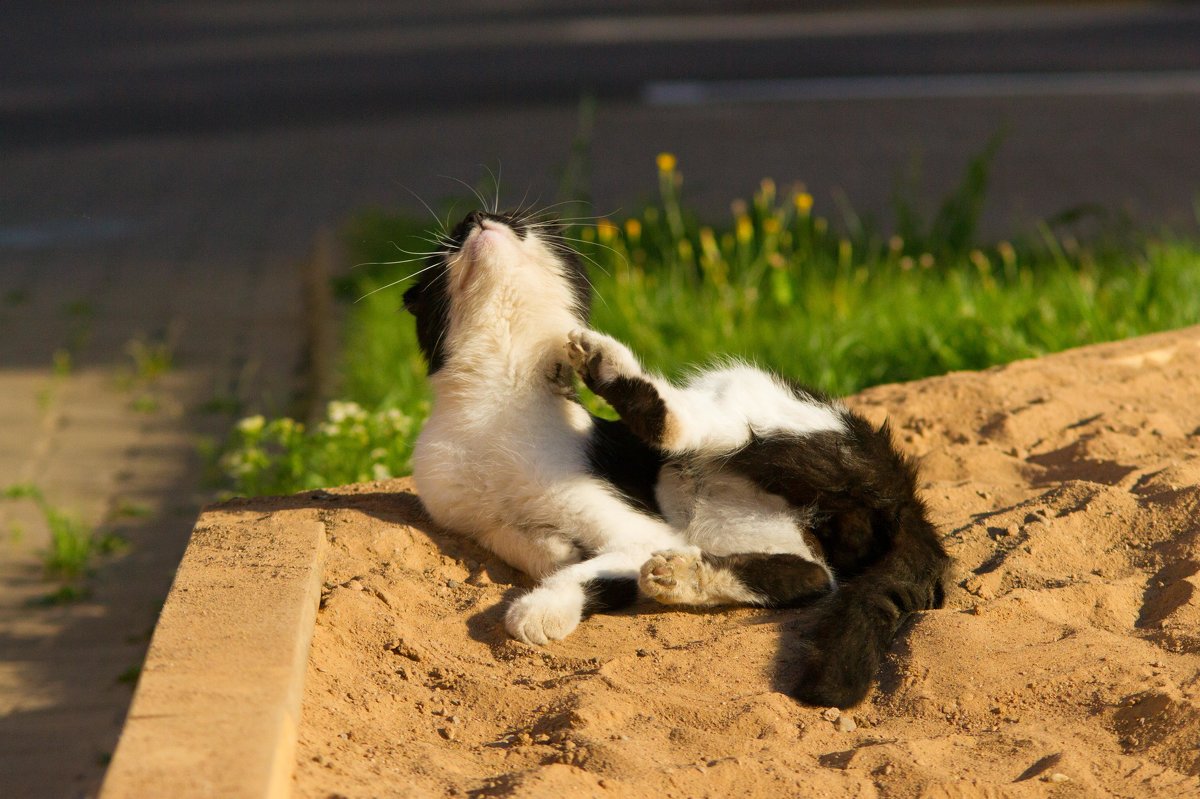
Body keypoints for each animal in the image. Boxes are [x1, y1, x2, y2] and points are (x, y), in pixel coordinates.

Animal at [403, 206, 945, 705]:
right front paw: (552, 549)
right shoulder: (471, 518)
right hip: (747, 529)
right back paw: (684, 576)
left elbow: (585, 574)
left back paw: (609, 369)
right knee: (815, 575)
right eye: (453, 234)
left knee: (697, 424)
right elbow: (534, 547)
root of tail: (903, 494)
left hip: (753, 401)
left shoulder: (639, 534)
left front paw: (539, 610)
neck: (494, 405)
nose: (478, 215)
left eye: (516, 217)